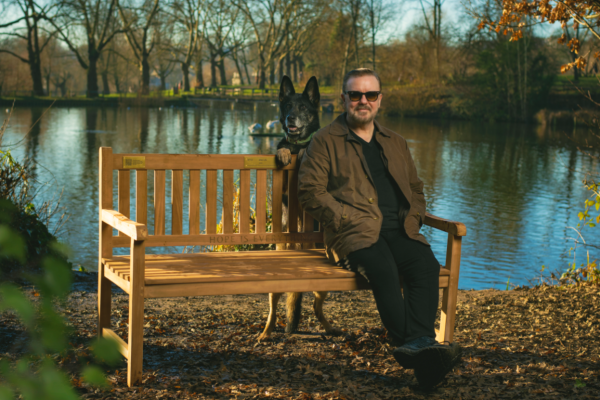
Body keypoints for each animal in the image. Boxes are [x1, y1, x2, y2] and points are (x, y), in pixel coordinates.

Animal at [258, 75, 342, 340]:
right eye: (287, 106)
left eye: (303, 107)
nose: (290, 118)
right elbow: (283, 147)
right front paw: (284, 152)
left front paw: (306, 151)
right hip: (275, 286)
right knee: (273, 310)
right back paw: (265, 333)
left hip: (322, 287)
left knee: (316, 307)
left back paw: (330, 329)